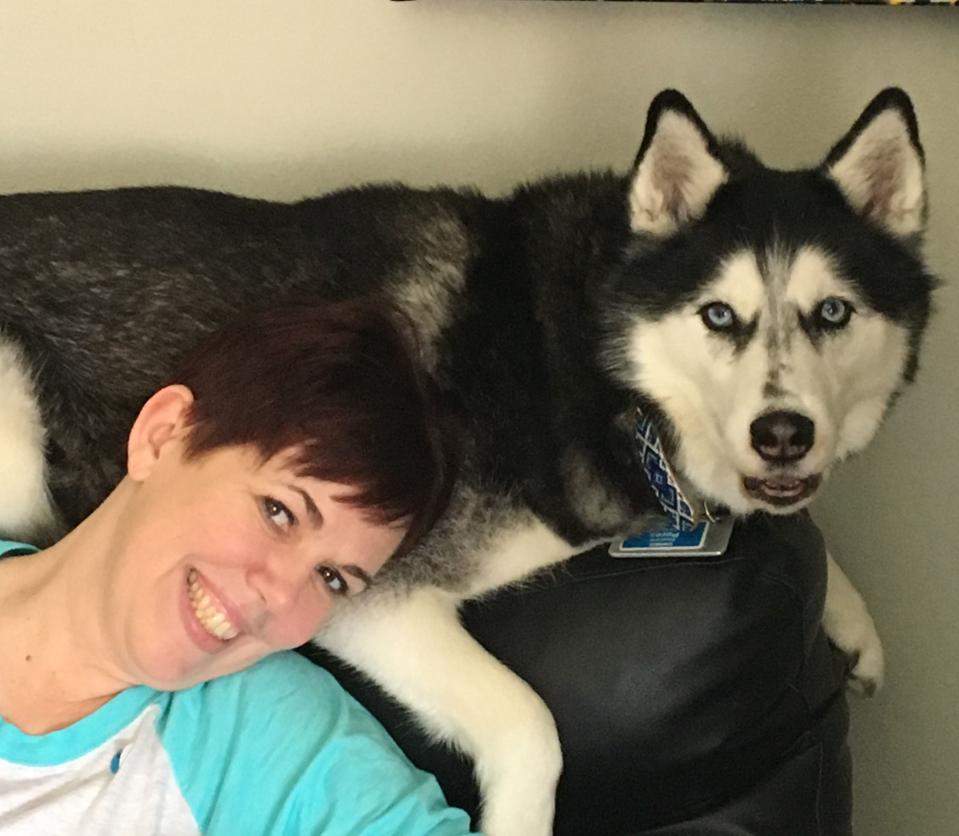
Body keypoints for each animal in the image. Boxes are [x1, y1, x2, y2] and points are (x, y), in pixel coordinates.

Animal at [0, 88, 932, 832]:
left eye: (832, 313)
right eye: (718, 315)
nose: (783, 432)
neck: (582, 344)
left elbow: (802, 526)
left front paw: (853, 621)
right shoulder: (374, 601)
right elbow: (531, 723)